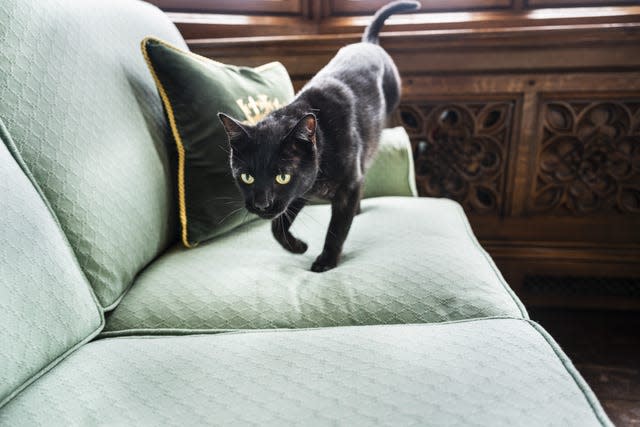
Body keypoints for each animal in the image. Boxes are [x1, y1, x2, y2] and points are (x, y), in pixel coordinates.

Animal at [220, 0, 420, 272]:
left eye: (282, 177)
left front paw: (326, 261)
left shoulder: (345, 187)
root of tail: (368, 43)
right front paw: (297, 247)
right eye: (246, 177)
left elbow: (336, 228)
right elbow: (276, 226)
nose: (261, 204)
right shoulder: (299, 193)